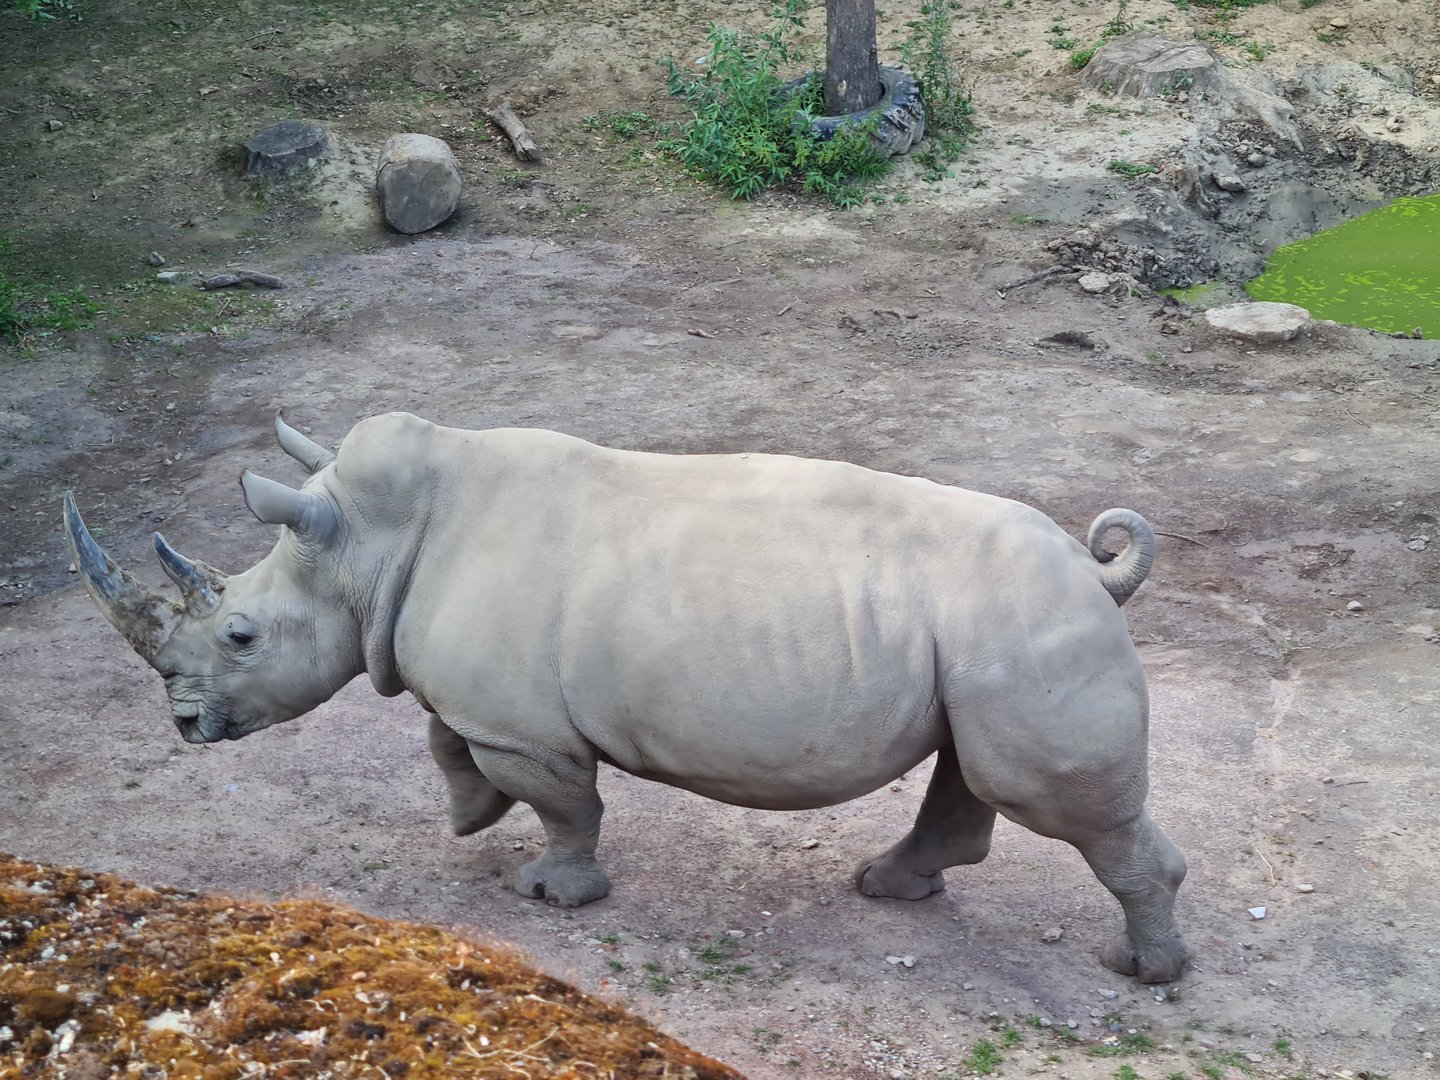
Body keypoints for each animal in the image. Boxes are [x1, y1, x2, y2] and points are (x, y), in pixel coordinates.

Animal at [64, 411, 1190, 983]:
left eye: (242, 636)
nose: (186, 726)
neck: (364, 550)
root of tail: (1096, 573)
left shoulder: (523, 725)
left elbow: (565, 803)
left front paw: (550, 893)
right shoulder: (484, 703)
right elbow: (445, 743)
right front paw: (470, 819)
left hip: (1024, 619)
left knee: (1047, 797)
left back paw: (1145, 971)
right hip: (987, 631)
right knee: (974, 770)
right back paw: (889, 887)